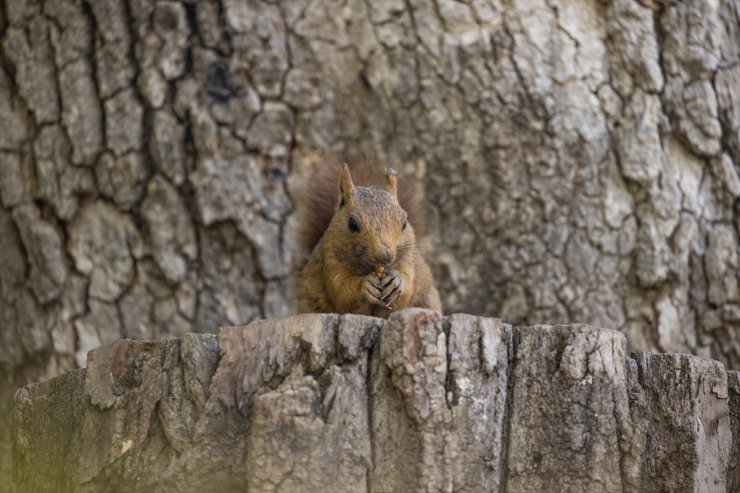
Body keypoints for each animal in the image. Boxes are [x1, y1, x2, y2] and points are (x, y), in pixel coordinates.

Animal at [294, 160, 440, 318]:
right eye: (352, 224)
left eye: (404, 222)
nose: (384, 256)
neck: (370, 267)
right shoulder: (330, 260)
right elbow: (341, 291)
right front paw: (365, 285)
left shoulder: (408, 259)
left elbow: (407, 286)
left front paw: (396, 282)